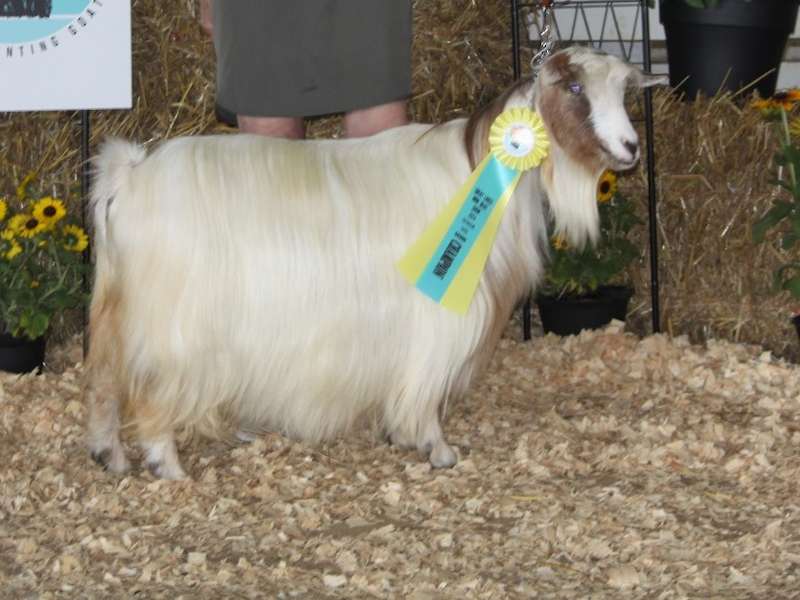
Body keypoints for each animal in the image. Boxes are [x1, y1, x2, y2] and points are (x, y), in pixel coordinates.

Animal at [86, 47, 666, 479]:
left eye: (623, 91)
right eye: (575, 90)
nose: (630, 148)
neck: (480, 169)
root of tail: (129, 176)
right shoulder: (435, 311)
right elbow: (426, 383)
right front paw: (434, 446)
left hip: (120, 310)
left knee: (107, 380)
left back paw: (111, 455)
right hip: (172, 326)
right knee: (150, 391)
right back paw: (165, 462)